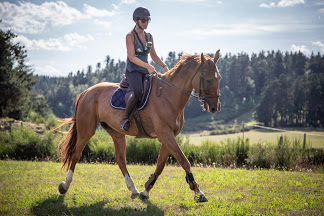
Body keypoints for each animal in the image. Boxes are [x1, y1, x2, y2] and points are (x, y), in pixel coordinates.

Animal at [57, 49, 221, 202]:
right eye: (208, 80)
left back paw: (134, 189)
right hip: (86, 130)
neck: (169, 95)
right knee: (76, 154)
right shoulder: (165, 134)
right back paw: (64, 186)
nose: (215, 107)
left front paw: (146, 190)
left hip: (116, 133)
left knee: (121, 160)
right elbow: (184, 161)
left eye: (218, 78)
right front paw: (198, 192)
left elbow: (160, 165)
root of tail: (86, 92)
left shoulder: (169, 136)